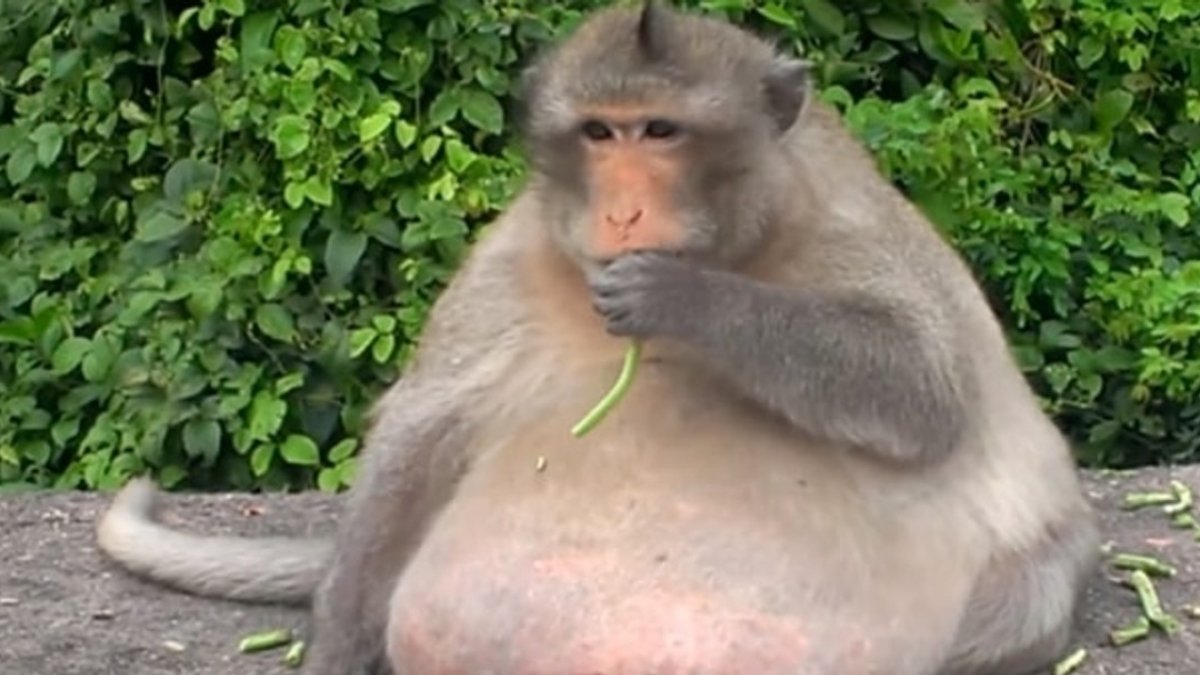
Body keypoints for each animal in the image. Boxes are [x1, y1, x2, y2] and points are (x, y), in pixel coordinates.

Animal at [95, 2, 1101, 674]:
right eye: (598, 133)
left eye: (660, 130)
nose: (622, 210)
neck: (742, 237)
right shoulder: (516, 256)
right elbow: (420, 434)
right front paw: (339, 648)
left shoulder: (845, 217)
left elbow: (922, 386)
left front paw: (684, 297)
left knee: (1028, 595)